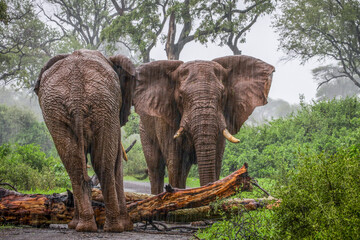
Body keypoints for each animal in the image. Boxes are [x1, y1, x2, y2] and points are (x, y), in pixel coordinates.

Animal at [34, 49, 136, 232]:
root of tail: (76, 95)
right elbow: (117, 161)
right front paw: (128, 226)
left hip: (57, 111)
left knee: (74, 165)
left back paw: (83, 226)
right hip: (104, 105)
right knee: (104, 164)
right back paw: (114, 228)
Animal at [134, 55, 274, 194]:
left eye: (223, 96)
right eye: (181, 97)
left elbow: (216, 161)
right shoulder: (165, 120)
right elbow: (175, 163)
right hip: (144, 128)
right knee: (156, 167)